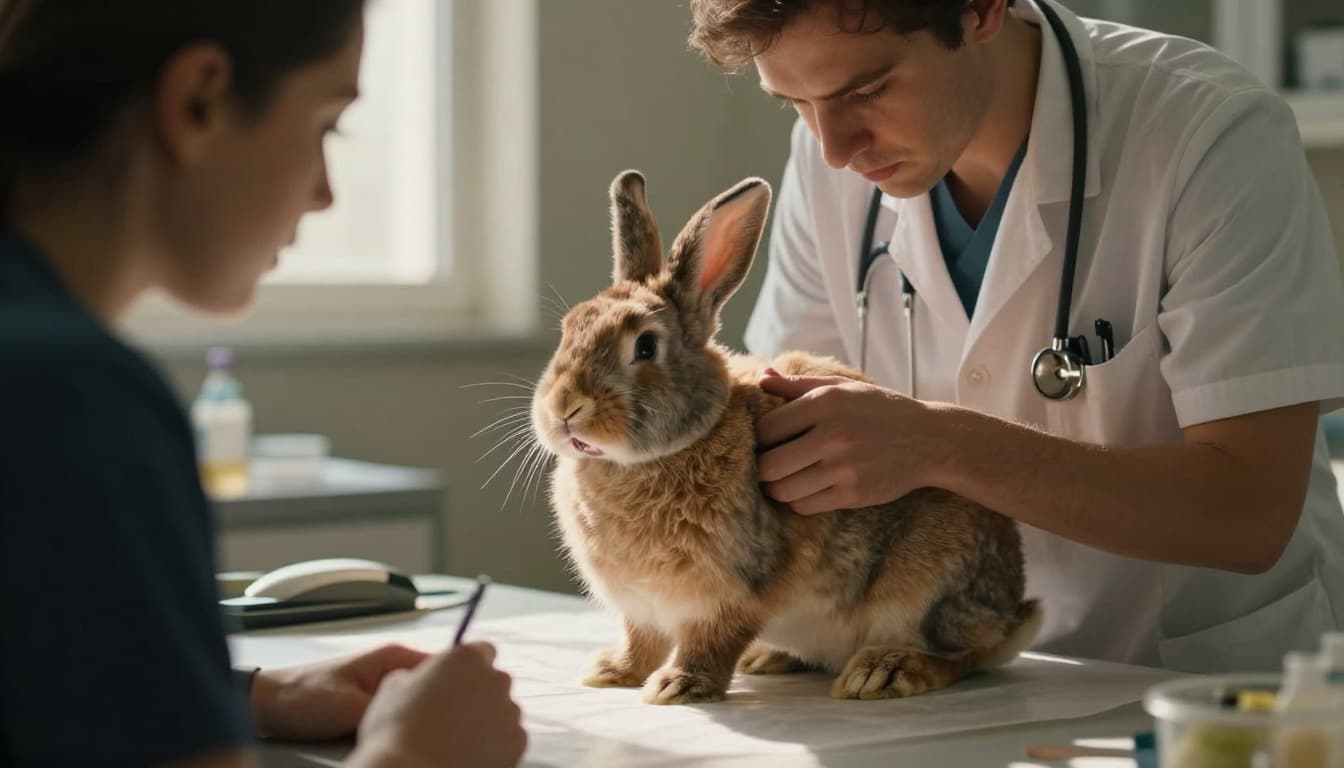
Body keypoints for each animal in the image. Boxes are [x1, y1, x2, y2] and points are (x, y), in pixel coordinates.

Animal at [529, 170, 1041, 706]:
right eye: (568, 330)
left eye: (645, 347)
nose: (564, 408)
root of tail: (1012, 609)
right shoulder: (641, 608)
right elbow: (640, 640)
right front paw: (612, 672)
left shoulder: (736, 591)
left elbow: (711, 641)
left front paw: (679, 685)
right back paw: (769, 658)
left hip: (931, 591)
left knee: (964, 653)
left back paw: (885, 670)